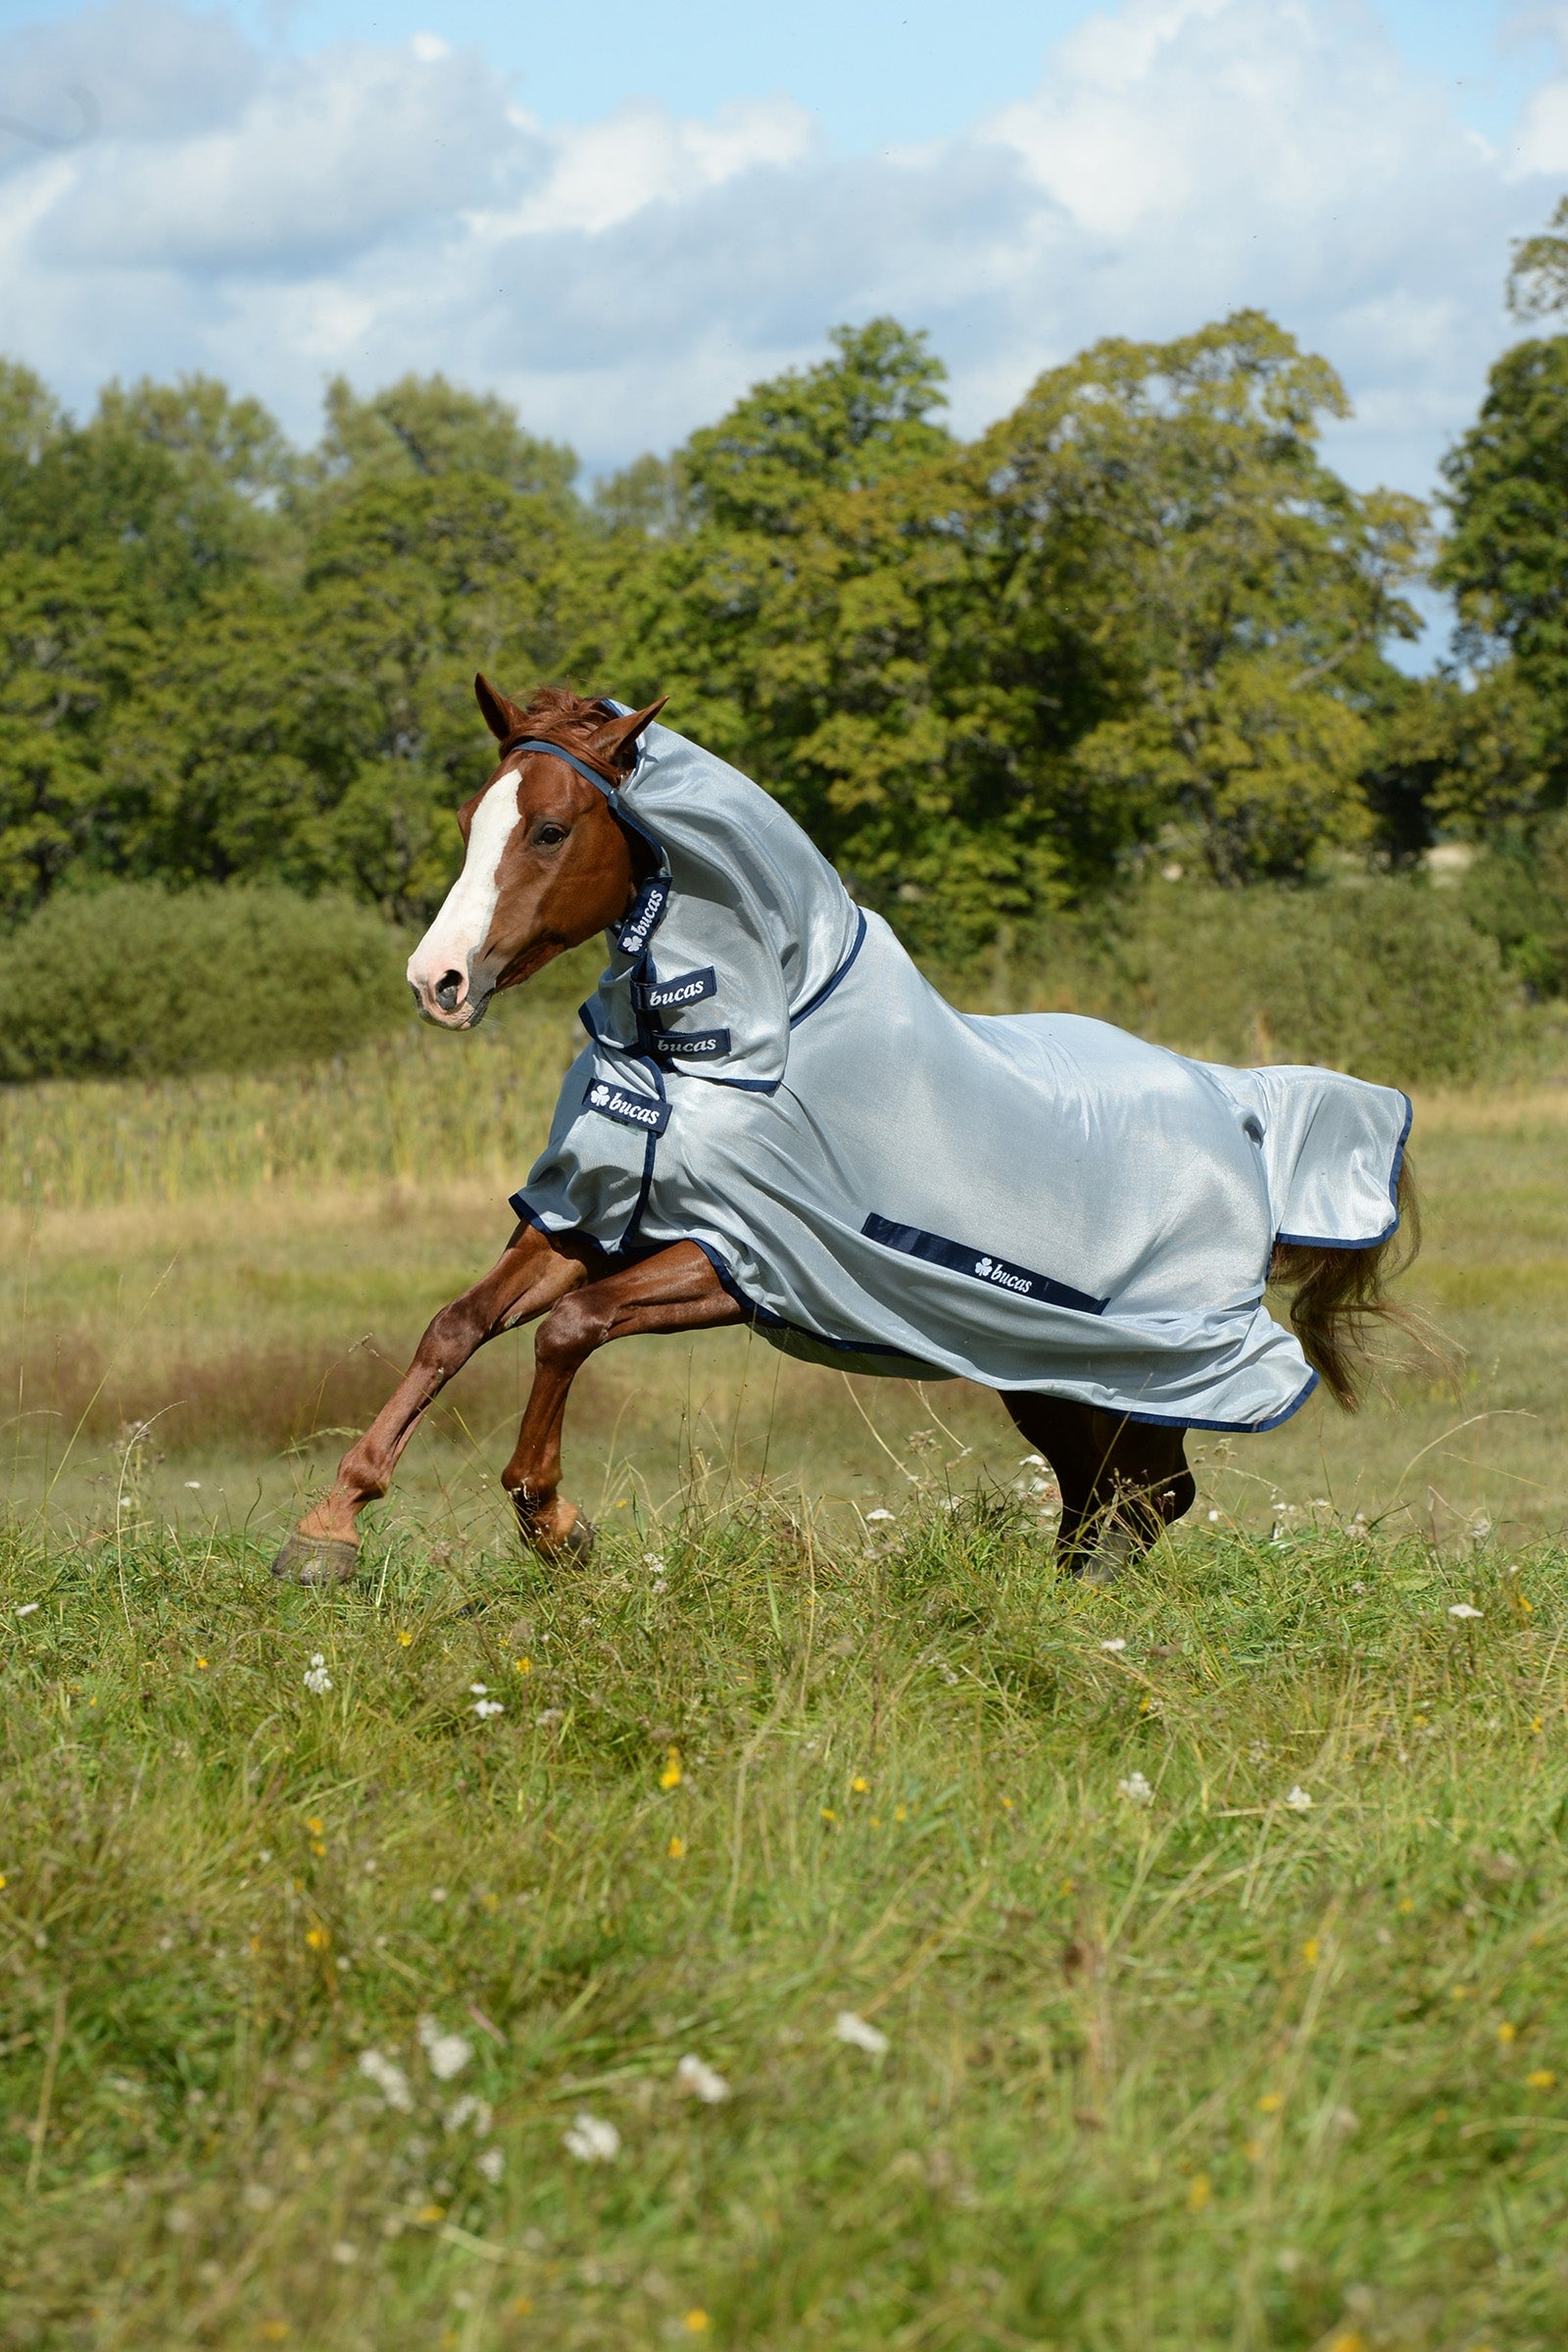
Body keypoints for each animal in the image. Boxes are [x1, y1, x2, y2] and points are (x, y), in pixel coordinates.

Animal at [272, 680, 1419, 1588]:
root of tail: (1238, 1103)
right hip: (1048, 1370)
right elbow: (457, 1326)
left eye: (549, 830)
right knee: (1113, 1491)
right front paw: (328, 1528)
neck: (729, 1041)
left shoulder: (743, 1258)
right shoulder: (588, 1220)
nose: (437, 981)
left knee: (1142, 1493)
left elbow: (569, 1331)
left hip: (1137, 1369)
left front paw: (553, 1524)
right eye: (473, 818)